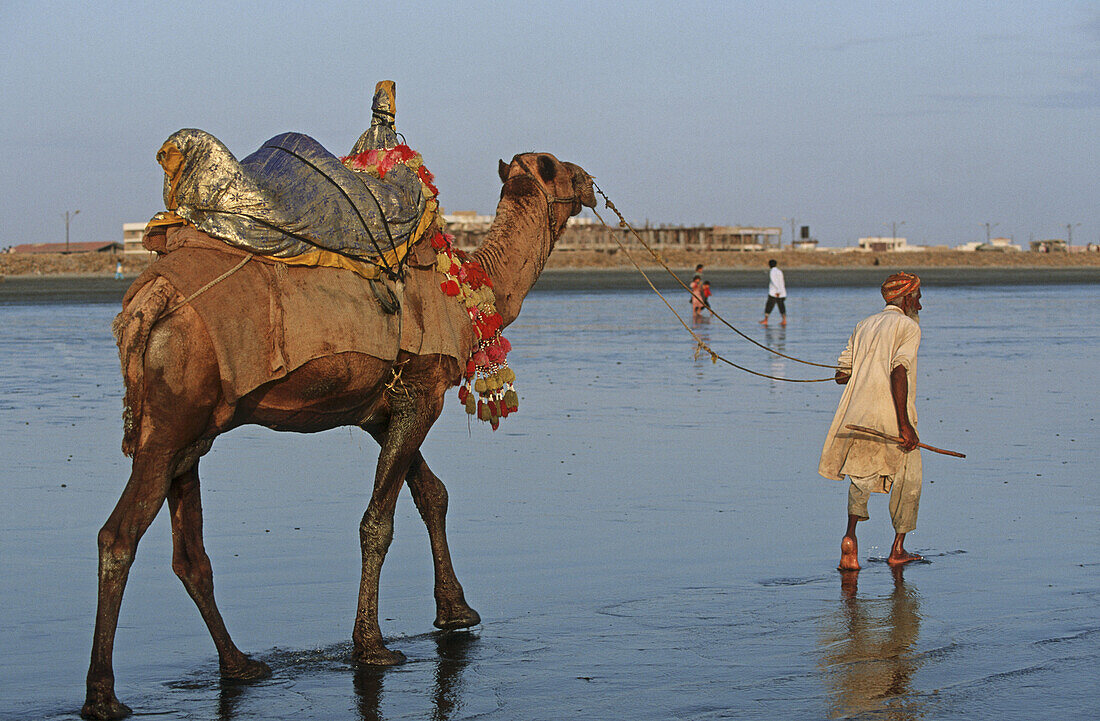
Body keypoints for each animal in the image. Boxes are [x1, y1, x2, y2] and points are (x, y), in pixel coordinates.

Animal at [81, 149, 598, 717]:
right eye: (559, 166)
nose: (590, 184)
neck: (467, 287)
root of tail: (146, 300)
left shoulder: (379, 408)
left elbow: (431, 494)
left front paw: (457, 611)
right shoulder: (422, 391)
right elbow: (379, 521)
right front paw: (372, 646)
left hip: (188, 428)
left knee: (189, 553)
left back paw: (239, 665)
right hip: (172, 418)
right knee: (118, 535)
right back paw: (104, 697)